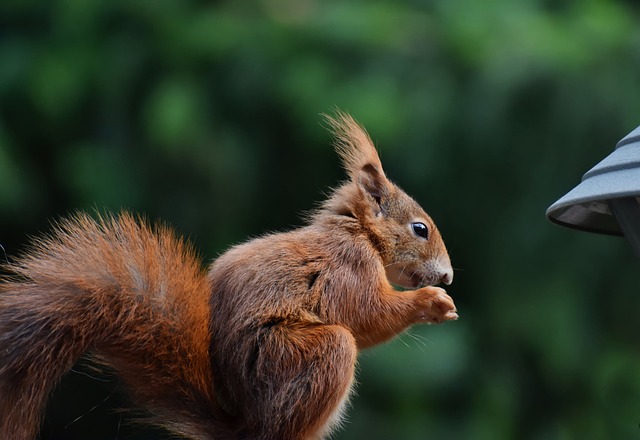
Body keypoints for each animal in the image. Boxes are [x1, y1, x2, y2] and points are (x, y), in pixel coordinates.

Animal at [0, 113, 456, 440]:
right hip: (302, 356)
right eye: (420, 229)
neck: (358, 233)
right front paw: (432, 303)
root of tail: (245, 426)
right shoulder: (349, 268)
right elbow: (367, 315)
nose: (448, 276)